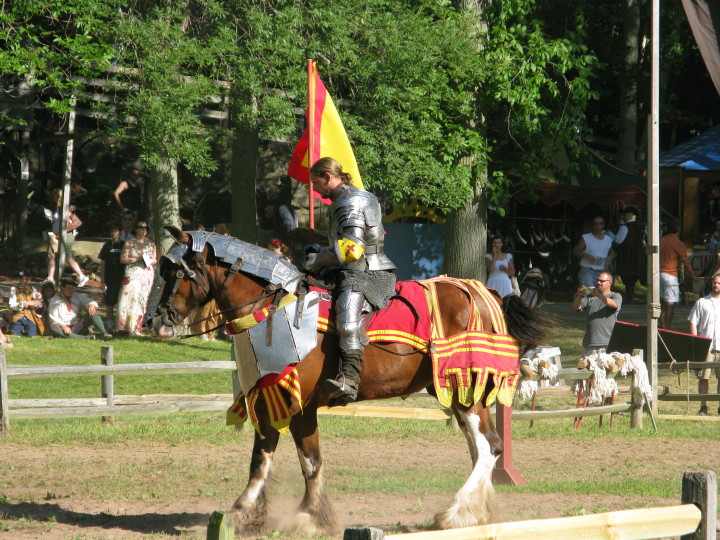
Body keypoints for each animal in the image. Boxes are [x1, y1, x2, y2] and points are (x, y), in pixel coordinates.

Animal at [149, 226, 548, 536]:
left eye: (177, 272)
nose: (157, 318)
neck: (269, 310)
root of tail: (487, 294)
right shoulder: (269, 399)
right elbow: (261, 460)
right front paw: (244, 514)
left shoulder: (300, 406)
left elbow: (309, 462)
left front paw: (309, 518)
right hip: (456, 392)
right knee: (480, 449)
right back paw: (475, 513)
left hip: (466, 391)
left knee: (489, 447)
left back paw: (457, 512)